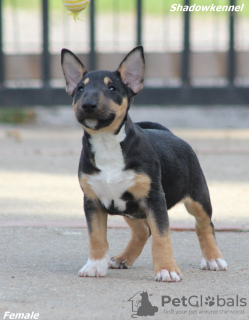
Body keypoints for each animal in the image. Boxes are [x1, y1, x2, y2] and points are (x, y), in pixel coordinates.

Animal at [60, 46, 228, 282]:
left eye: (112, 88)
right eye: (80, 88)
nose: (88, 105)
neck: (107, 143)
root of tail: (170, 133)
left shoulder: (154, 199)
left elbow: (161, 236)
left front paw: (167, 269)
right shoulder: (92, 201)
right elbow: (97, 236)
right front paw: (94, 265)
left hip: (197, 197)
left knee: (204, 224)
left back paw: (213, 259)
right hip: (129, 207)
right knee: (141, 230)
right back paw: (123, 258)